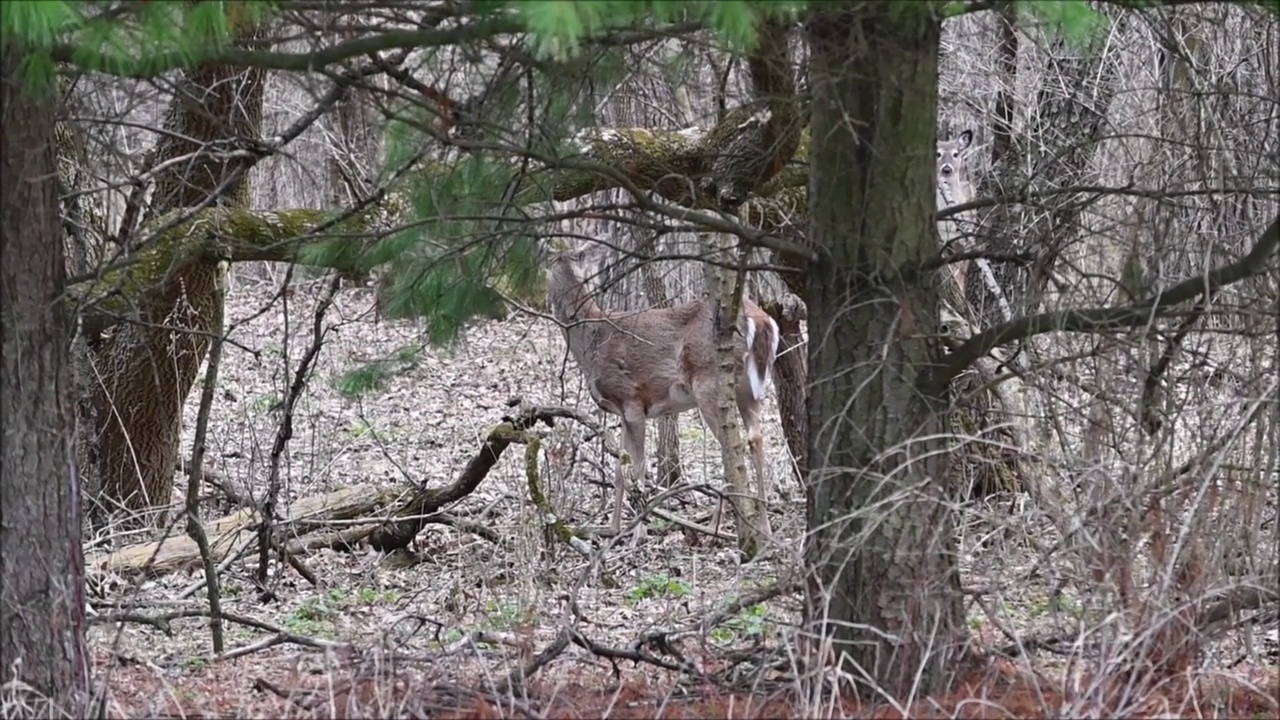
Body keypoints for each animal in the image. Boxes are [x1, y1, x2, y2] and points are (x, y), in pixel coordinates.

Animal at [542, 243, 778, 530]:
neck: (592, 343)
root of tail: (762, 320)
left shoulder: (631, 397)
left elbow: (639, 469)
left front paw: (637, 530)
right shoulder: (622, 410)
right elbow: (620, 470)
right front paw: (613, 528)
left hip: (710, 382)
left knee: (731, 445)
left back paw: (715, 526)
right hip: (749, 390)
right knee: (755, 437)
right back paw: (763, 525)